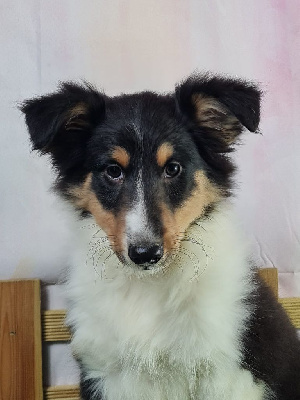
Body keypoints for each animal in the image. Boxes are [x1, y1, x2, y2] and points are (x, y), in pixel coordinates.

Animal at [21, 73, 300, 398]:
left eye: (173, 168)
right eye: (112, 170)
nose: (145, 254)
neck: (147, 288)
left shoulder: (227, 375)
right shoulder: (107, 374)